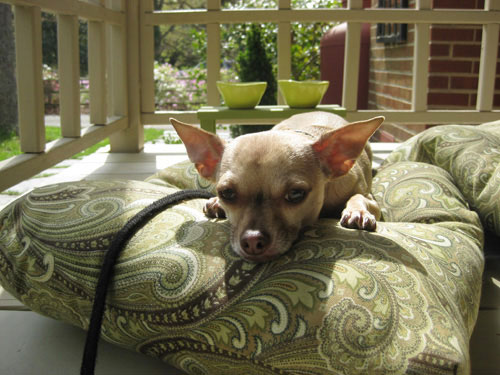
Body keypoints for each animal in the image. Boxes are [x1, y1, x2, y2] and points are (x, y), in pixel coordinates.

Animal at [170, 111, 384, 262]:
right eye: (226, 193)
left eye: (296, 194)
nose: (252, 241)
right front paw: (215, 202)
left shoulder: (371, 200)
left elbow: (358, 196)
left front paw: (358, 212)